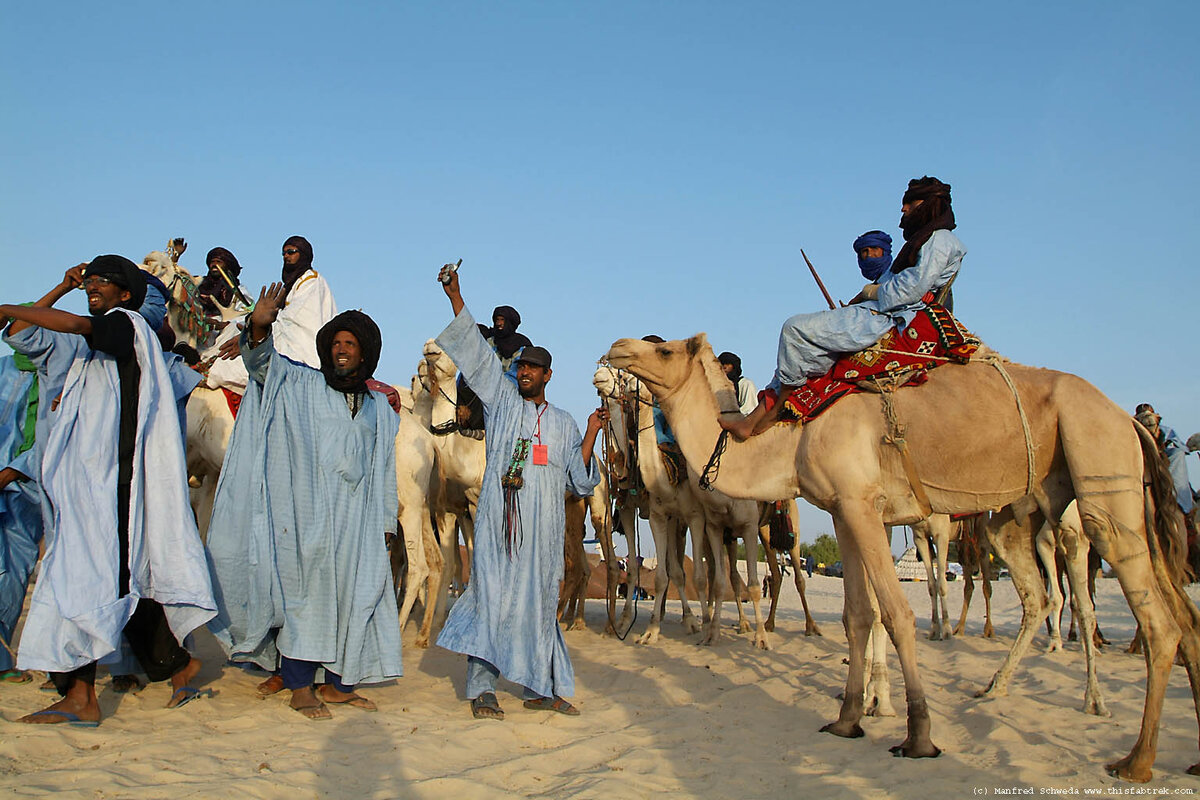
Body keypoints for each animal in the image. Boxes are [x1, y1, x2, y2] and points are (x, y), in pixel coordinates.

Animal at [609, 331, 1200, 782]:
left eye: (664, 351)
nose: (616, 348)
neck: (790, 442)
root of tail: (1127, 419)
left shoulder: (862, 504)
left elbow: (896, 614)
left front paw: (918, 735)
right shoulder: (843, 510)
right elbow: (856, 615)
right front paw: (846, 720)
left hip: (1098, 477)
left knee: (1150, 617)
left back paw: (1133, 757)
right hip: (1050, 505)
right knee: (1158, 608)